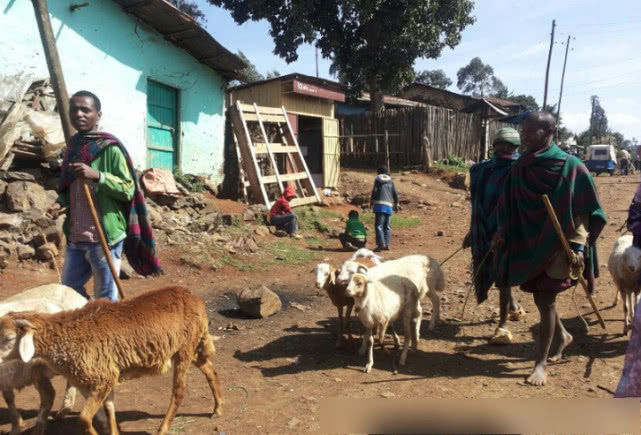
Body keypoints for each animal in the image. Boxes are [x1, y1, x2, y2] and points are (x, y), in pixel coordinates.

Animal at [0, 286, 222, 435]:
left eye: (8, 339)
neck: (68, 335)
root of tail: (193, 297)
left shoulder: (104, 378)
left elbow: (84, 419)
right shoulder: (104, 377)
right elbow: (109, 410)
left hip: (185, 350)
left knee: (179, 392)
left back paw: (163, 428)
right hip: (188, 347)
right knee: (210, 369)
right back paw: (218, 408)